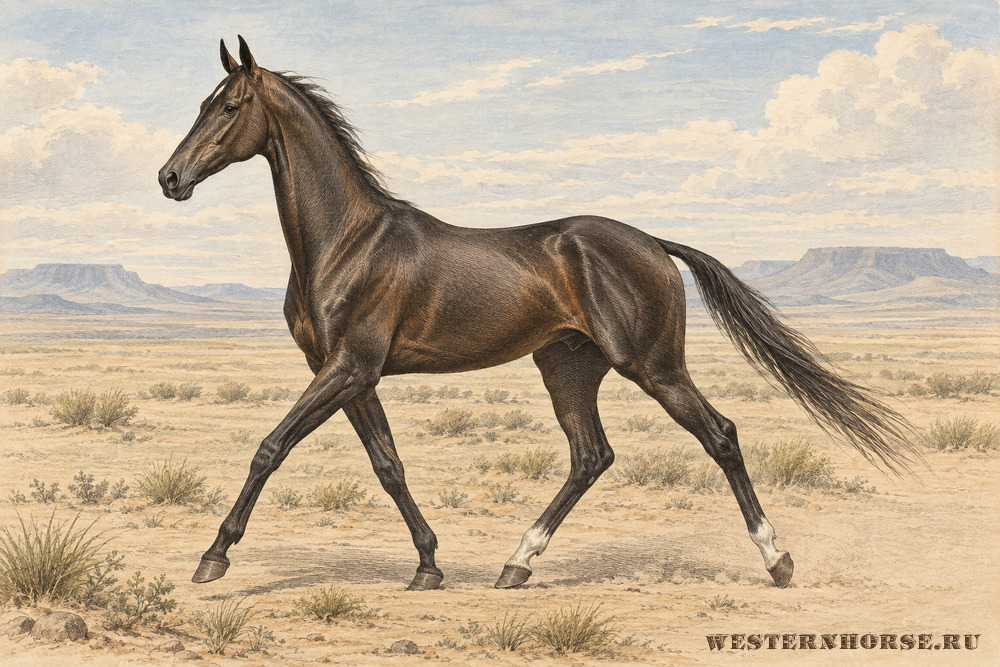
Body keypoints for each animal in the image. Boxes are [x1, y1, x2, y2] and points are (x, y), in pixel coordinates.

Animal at [159, 36, 915, 592]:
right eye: (202, 102)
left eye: (228, 107)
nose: (169, 178)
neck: (348, 240)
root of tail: (653, 243)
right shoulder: (351, 375)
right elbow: (388, 465)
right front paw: (428, 565)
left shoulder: (348, 368)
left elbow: (270, 447)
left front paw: (213, 557)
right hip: (568, 367)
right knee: (591, 455)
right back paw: (515, 564)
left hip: (653, 365)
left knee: (720, 435)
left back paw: (777, 561)